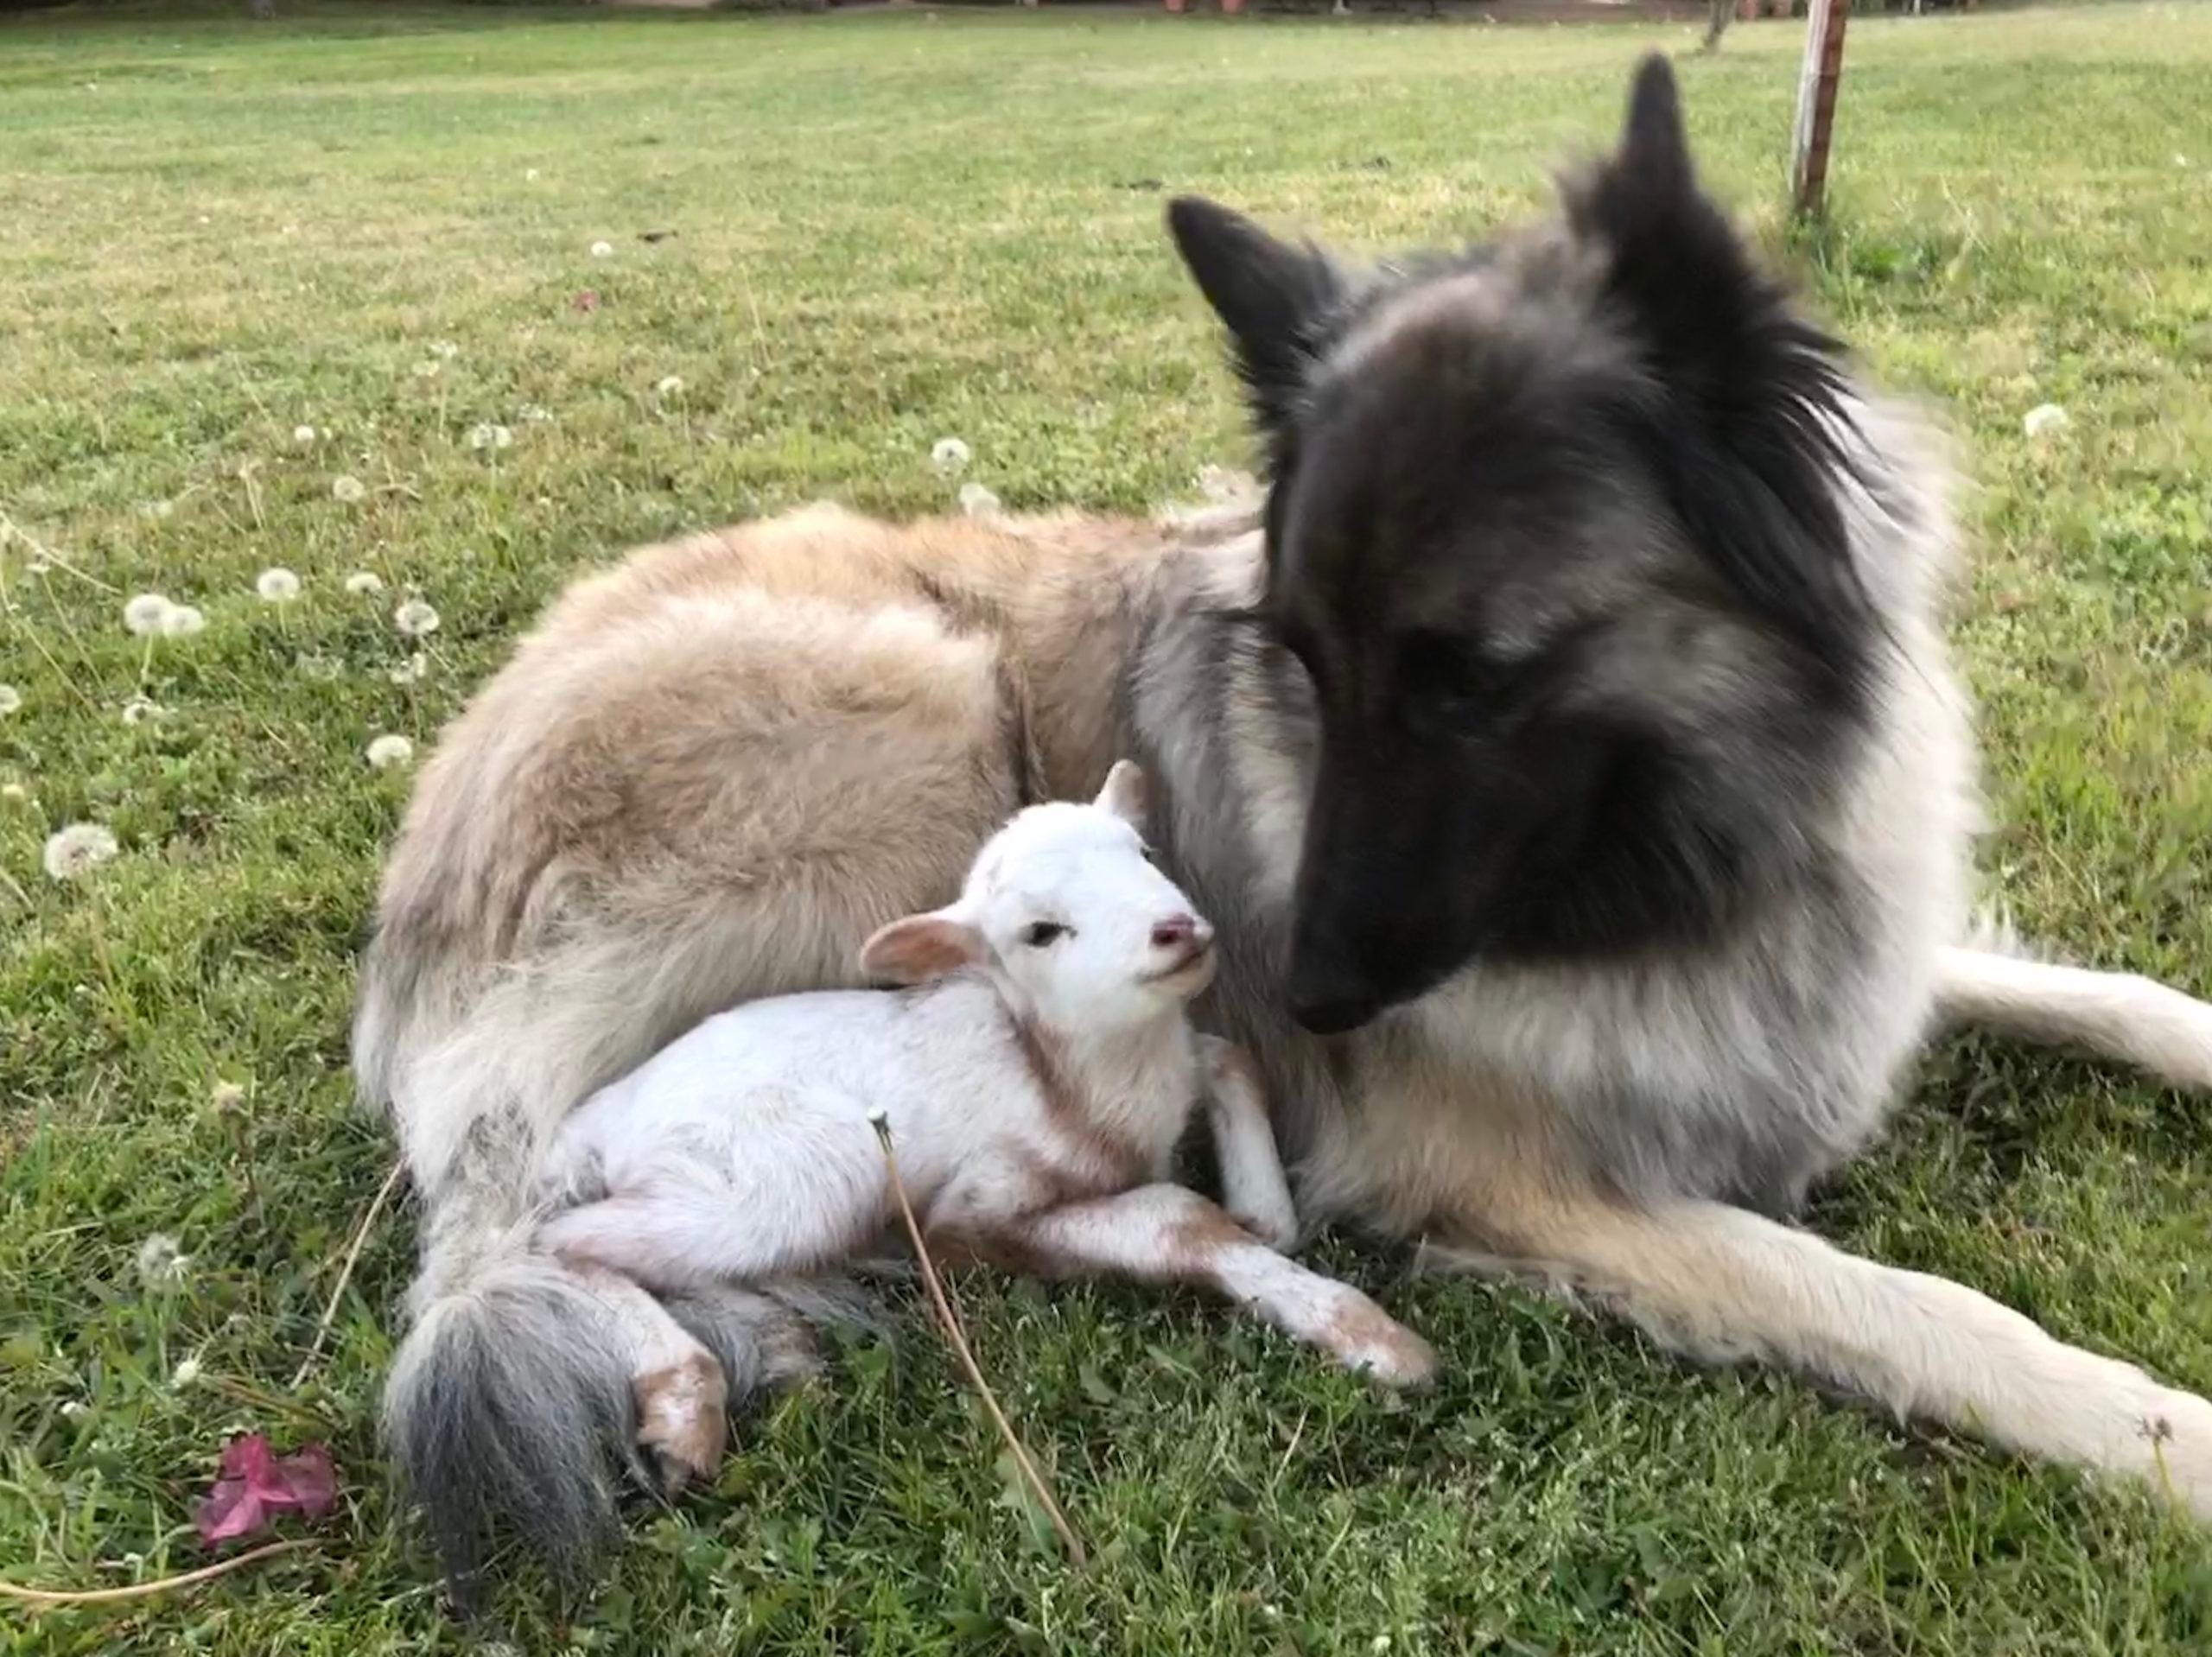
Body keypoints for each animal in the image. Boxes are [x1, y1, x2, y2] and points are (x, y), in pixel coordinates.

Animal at [534, 761, 1437, 1487]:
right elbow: (1178, 1217)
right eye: (1041, 932)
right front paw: (1377, 1339)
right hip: (798, 1172)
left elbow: (1231, 1066)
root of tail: (601, 1115)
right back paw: (685, 1399)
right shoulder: (972, 1211)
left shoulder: (1182, 1065)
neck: (1075, 1083)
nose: (1176, 931)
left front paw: (1262, 1211)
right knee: (561, 1243)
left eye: (1143, 856)